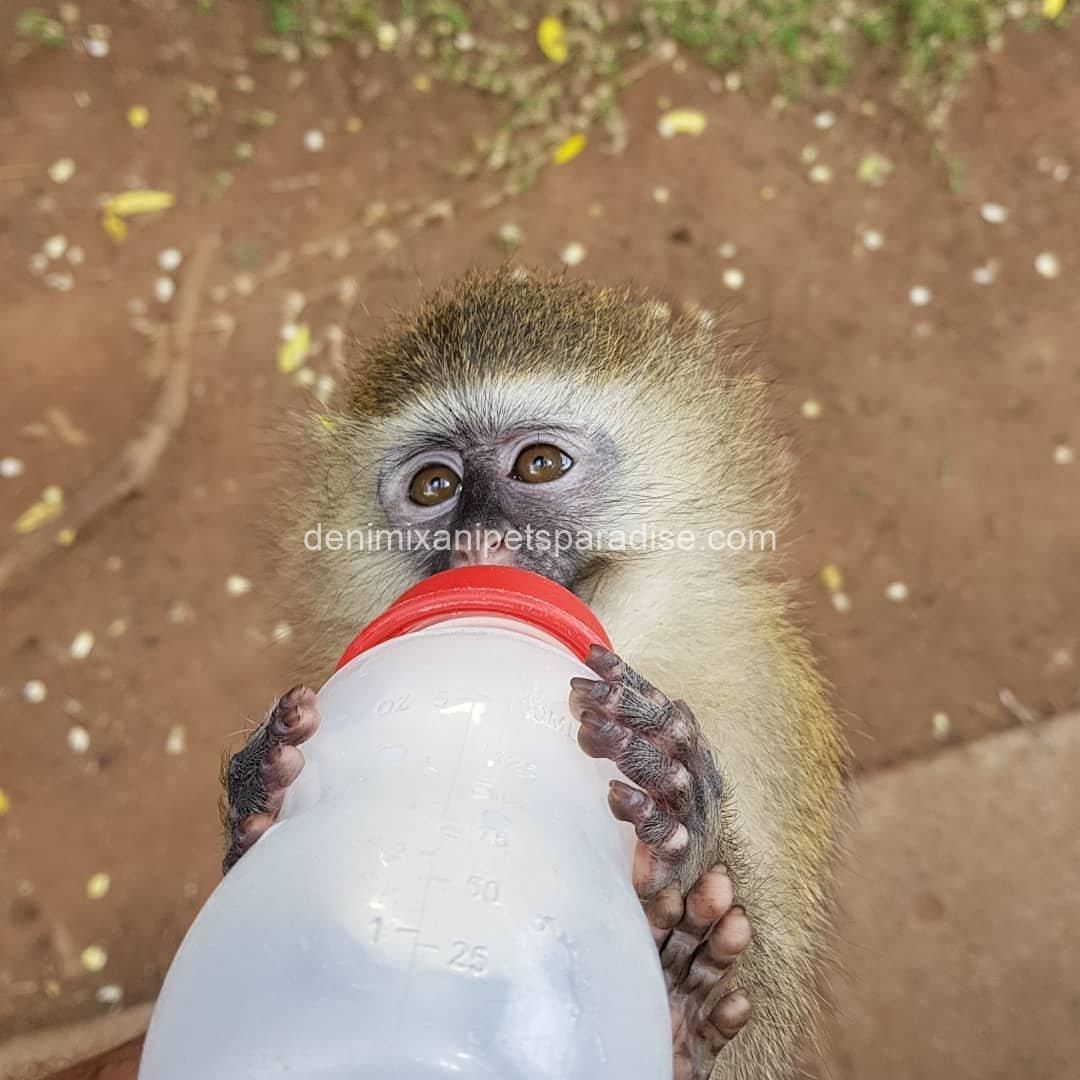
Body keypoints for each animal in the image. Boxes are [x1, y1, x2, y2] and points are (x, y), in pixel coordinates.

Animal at [222, 267, 849, 1080]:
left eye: (540, 465)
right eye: (434, 486)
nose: (480, 544)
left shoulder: (764, 695)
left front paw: (681, 813)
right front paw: (259, 799)